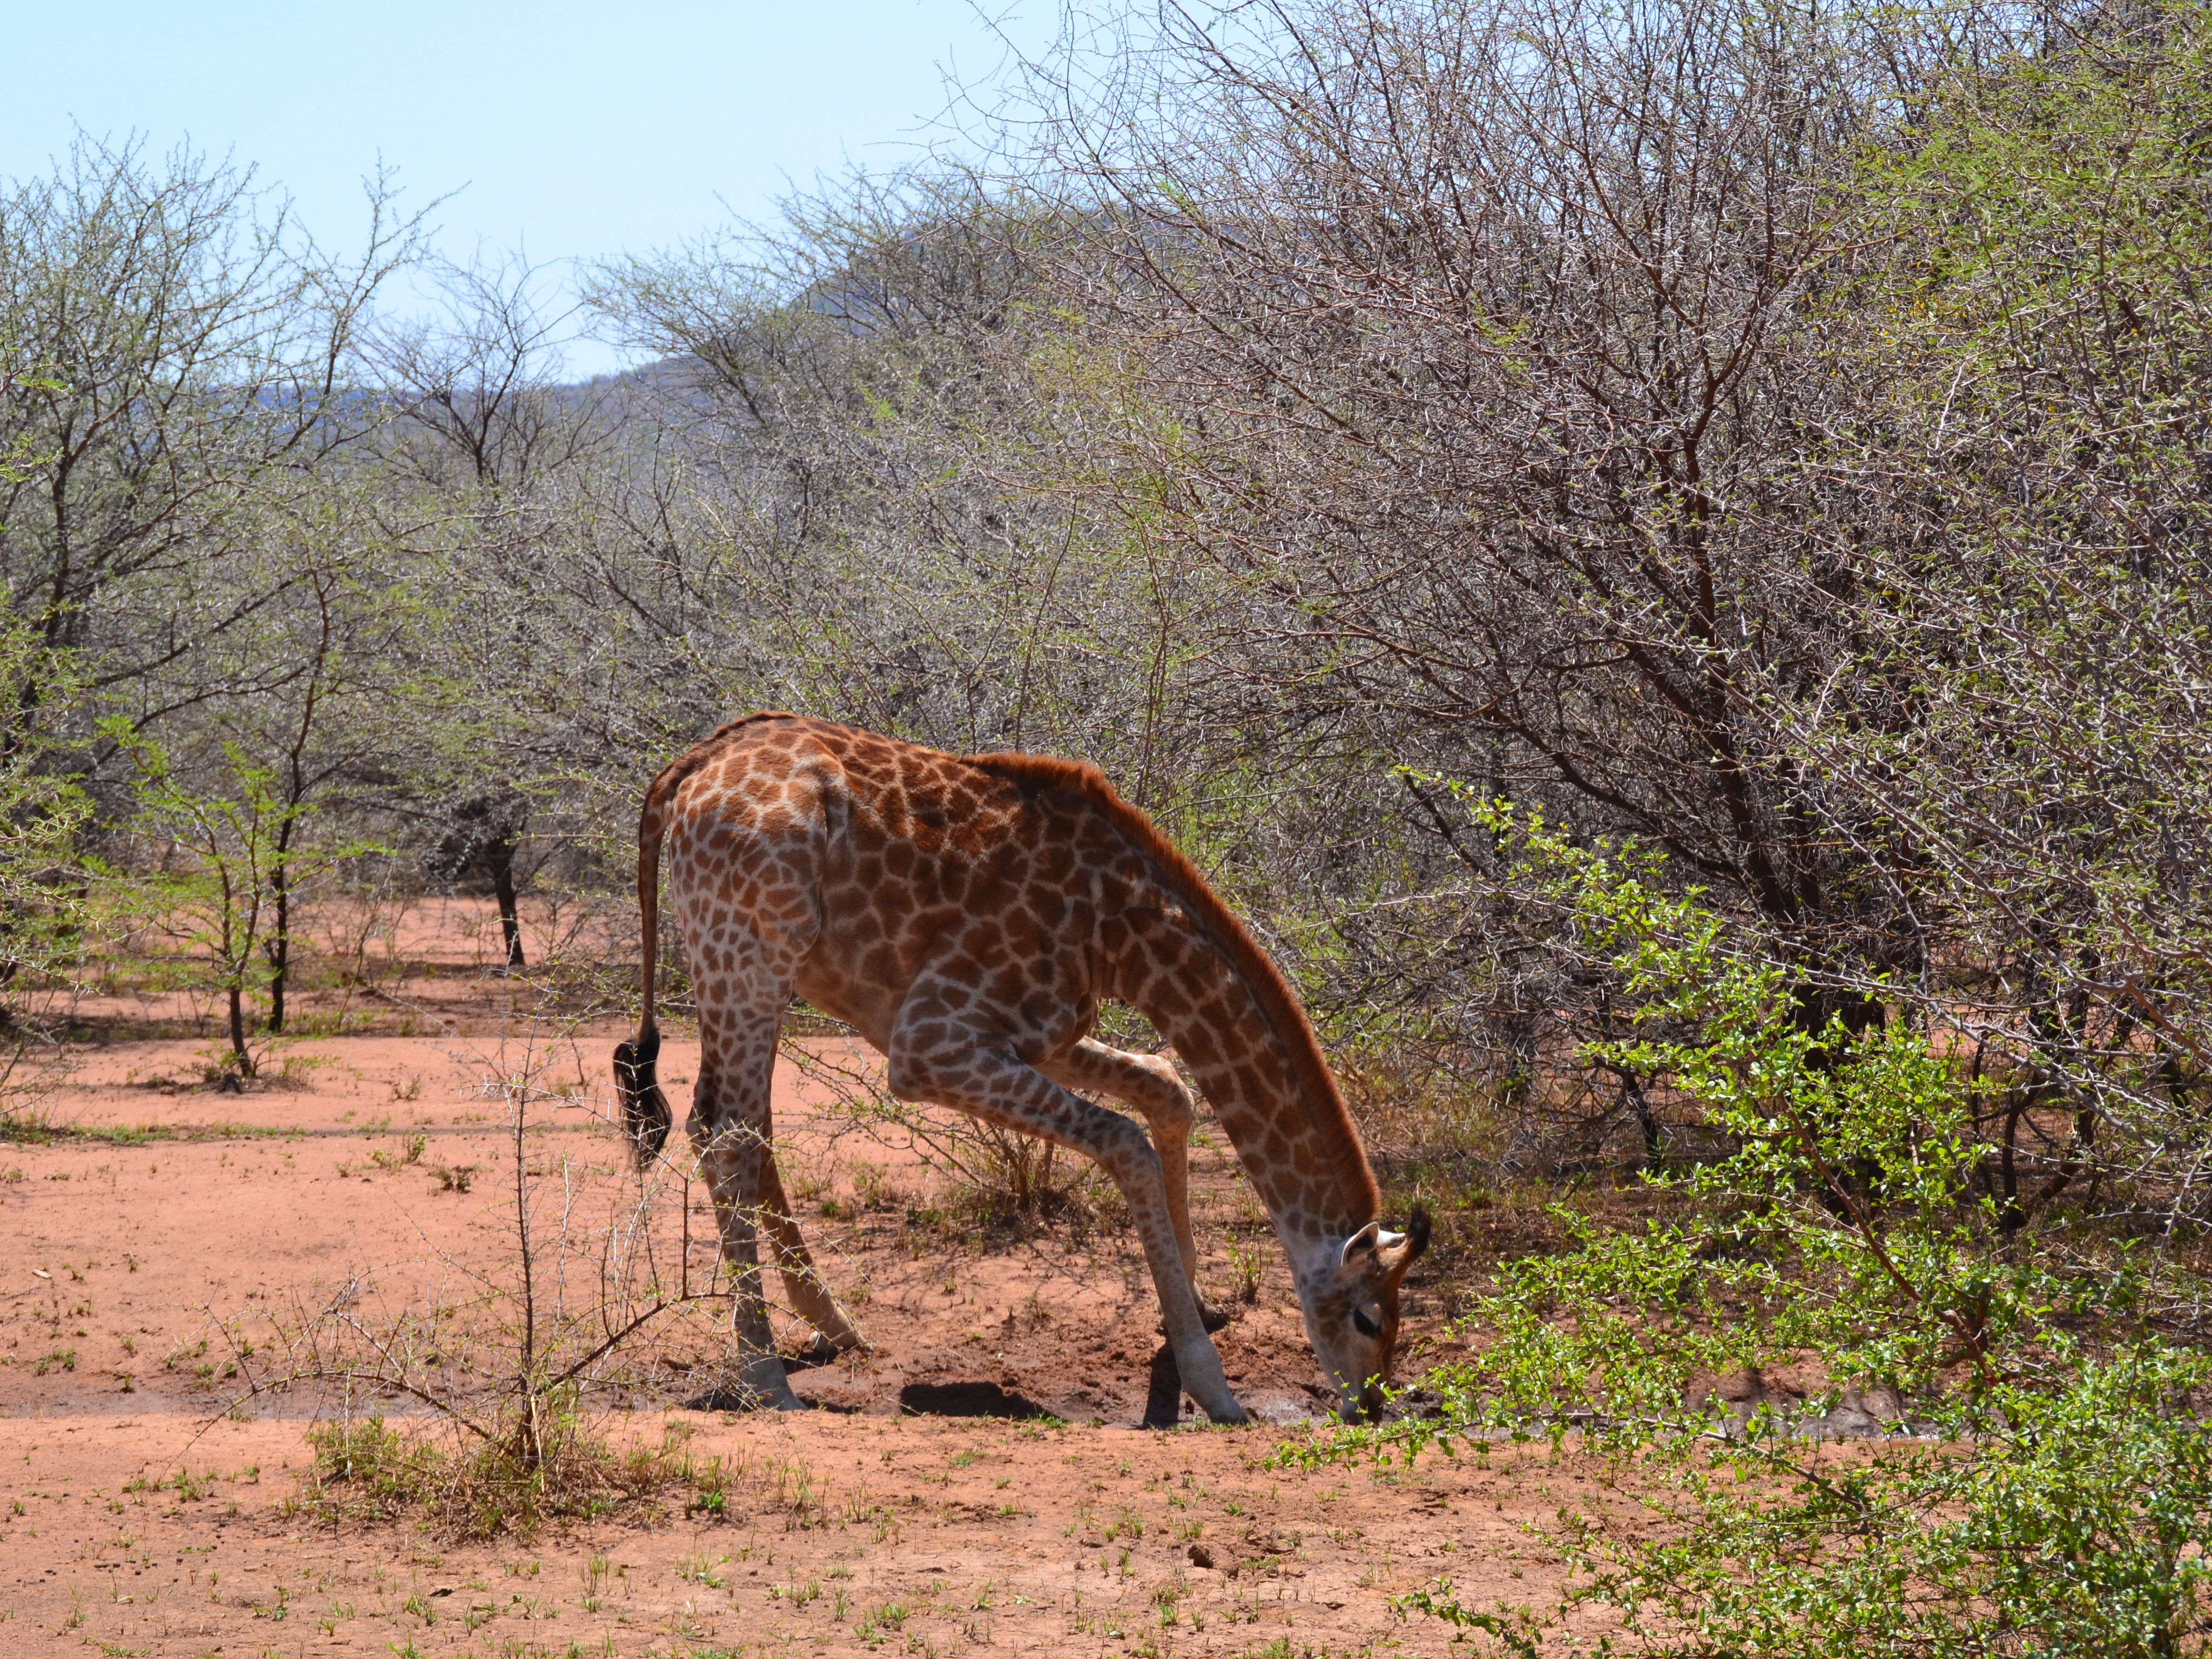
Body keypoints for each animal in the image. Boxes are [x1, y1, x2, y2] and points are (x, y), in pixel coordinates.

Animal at [612, 714, 1429, 1424]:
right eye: (1367, 1318)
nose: (1369, 1406)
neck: (1121, 936)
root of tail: (681, 775)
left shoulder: (1047, 1035)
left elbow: (1167, 1090)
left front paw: (1192, 1308)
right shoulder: (929, 1043)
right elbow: (1126, 1142)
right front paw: (1213, 1387)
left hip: (748, 966)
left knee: (737, 1125)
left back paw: (835, 1328)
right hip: (752, 953)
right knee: (728, 1134)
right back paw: (766, 1378)